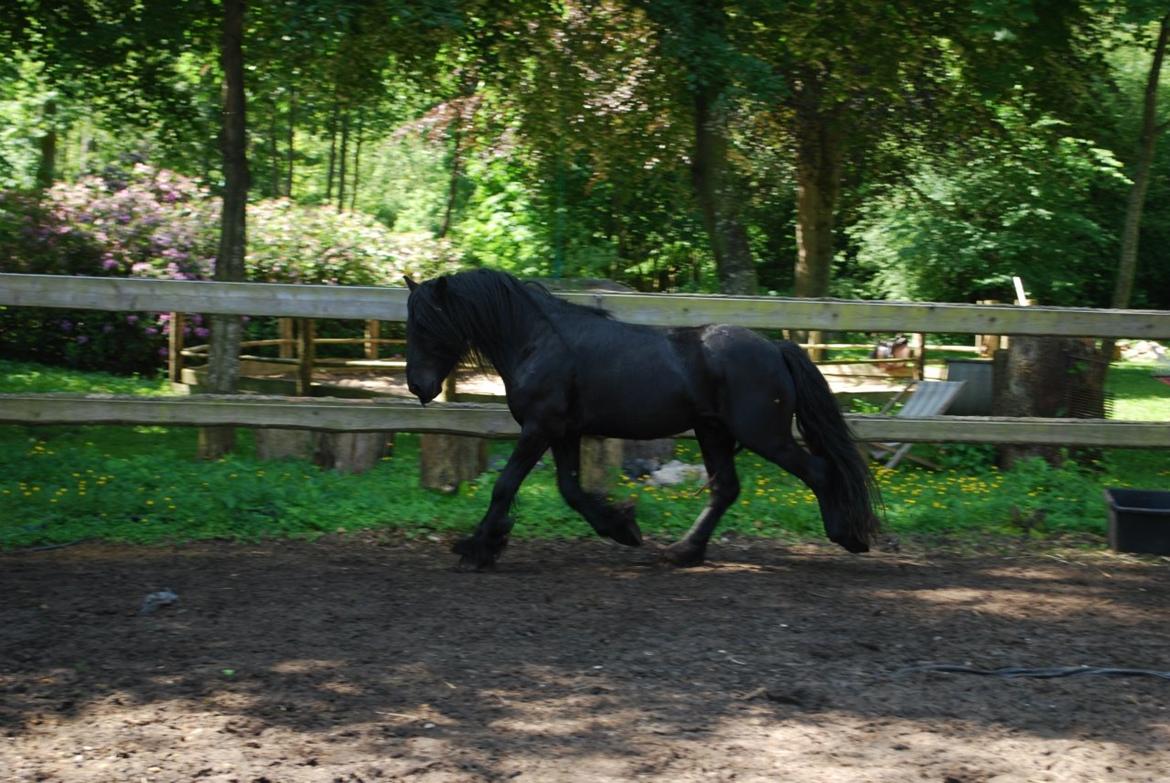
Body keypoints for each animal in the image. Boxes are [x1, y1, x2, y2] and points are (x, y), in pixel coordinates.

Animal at [404, 268, 881, 569]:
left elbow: (505, 487)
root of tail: (775, 348)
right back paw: (683, 551)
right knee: (726, 489)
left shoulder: (540, 428)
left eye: (427, 325)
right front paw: (623, 528)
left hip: (764, 435)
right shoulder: (563, 432)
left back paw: (846, 535)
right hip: (713, 431)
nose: (418, 387)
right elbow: (570, 490)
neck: (537, 342)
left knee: (819, 471)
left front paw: (475, 548)